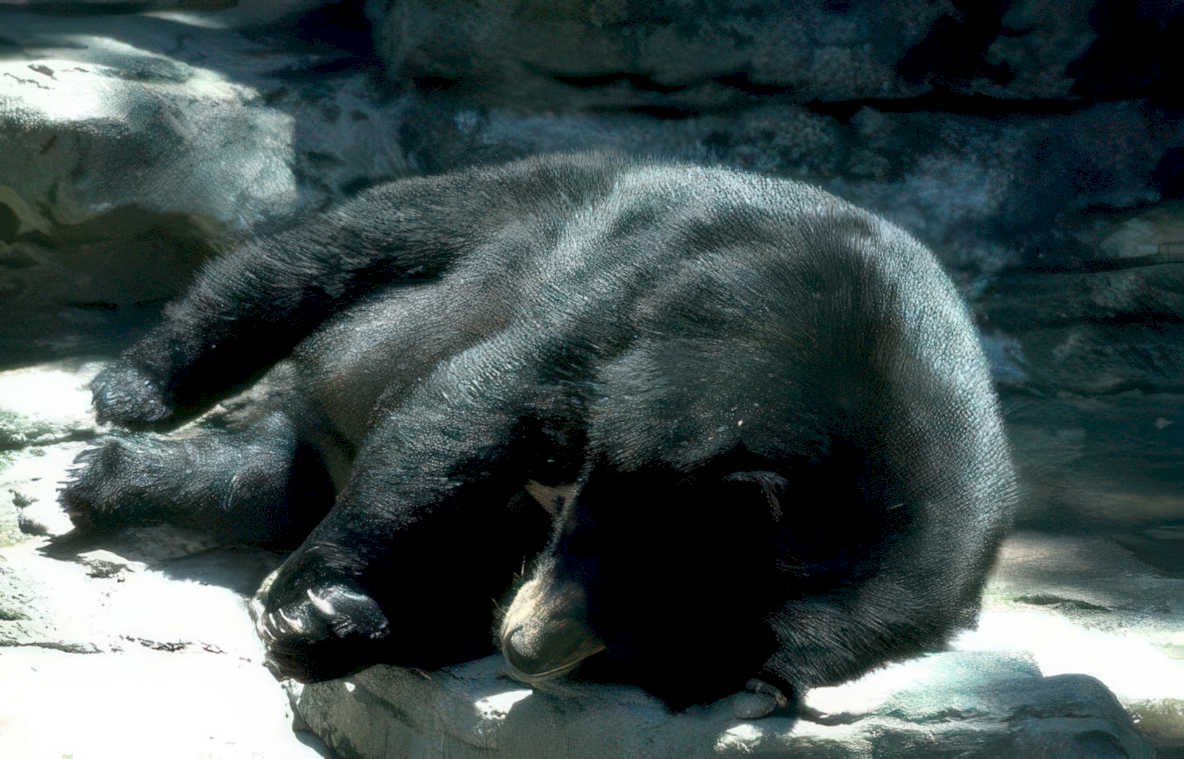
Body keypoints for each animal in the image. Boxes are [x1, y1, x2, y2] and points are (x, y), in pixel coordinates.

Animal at [61, 153, 1017, 715]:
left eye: (635, 652)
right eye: (600, 548)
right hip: (528, 201)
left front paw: (342, 624)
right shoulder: (688, 301)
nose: (521, 646)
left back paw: (107, 477)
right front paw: (307, 596)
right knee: (323, 256)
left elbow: (460, 565)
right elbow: (474, 409)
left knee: (258, 476)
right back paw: (128, 393)